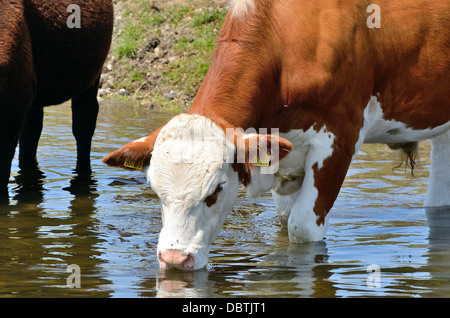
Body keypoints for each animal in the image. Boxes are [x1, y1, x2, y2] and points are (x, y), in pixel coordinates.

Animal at [103, 0, 448, 270]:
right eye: (155, 191)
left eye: (216, 190)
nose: (175, 260)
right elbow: (283, 220)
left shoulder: (339, 138)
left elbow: (301, 228)